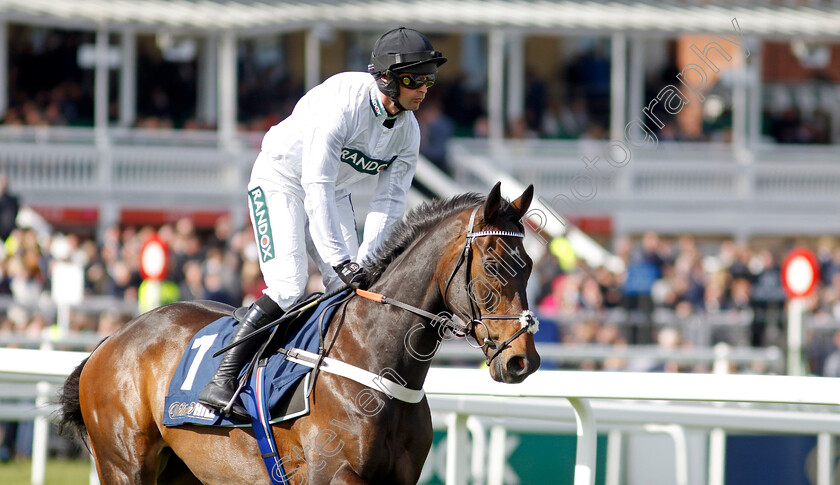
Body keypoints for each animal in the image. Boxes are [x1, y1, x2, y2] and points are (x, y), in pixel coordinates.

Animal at [60, 182, 544, 484]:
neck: (375, 363)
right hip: (124, 465)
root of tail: (111, 340)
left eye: (529, 265)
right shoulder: (334, 474)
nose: (523, 360)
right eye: (494, 265)